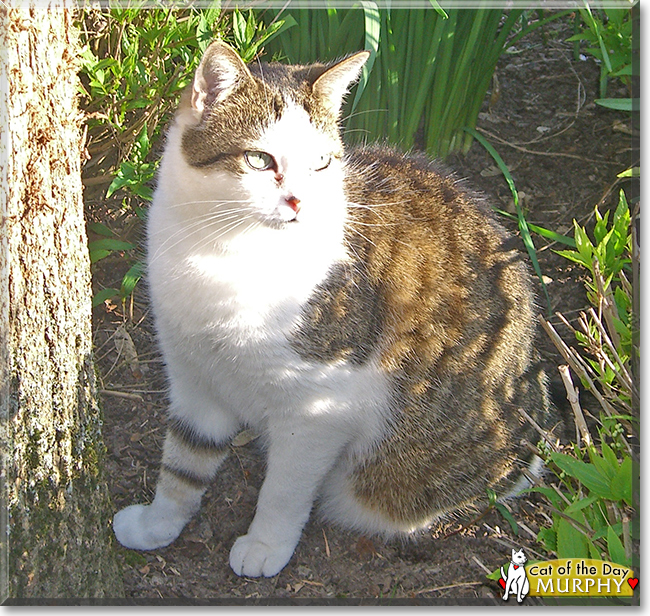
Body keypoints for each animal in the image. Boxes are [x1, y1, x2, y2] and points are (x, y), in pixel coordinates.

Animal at [114, 39, 548, 576]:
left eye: (321, 162)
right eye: (258, 160)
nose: (299, 202)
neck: (222, 251)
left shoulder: (318, 410)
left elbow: (284, 490)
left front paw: (265, 545)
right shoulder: (194, 379)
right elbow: (183, 462)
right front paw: (157, 523)